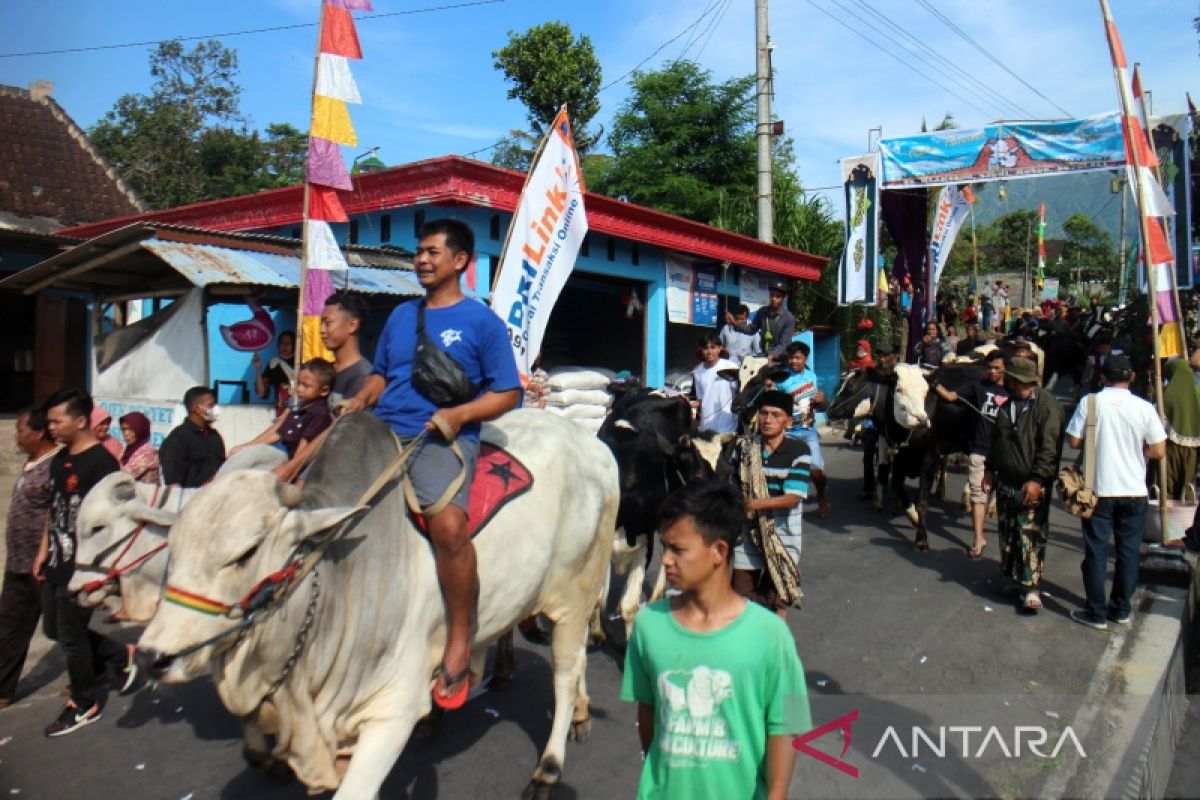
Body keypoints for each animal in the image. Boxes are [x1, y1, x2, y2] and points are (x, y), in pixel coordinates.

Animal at [135, 412, 619, 800]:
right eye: (172, 548)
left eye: (245, 553)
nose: (151, 657)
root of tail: (593, 444)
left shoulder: (390, 711)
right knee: (572, 661)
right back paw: (573, 712)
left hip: (576, 590)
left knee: (565, 670)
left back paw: (549, 766)